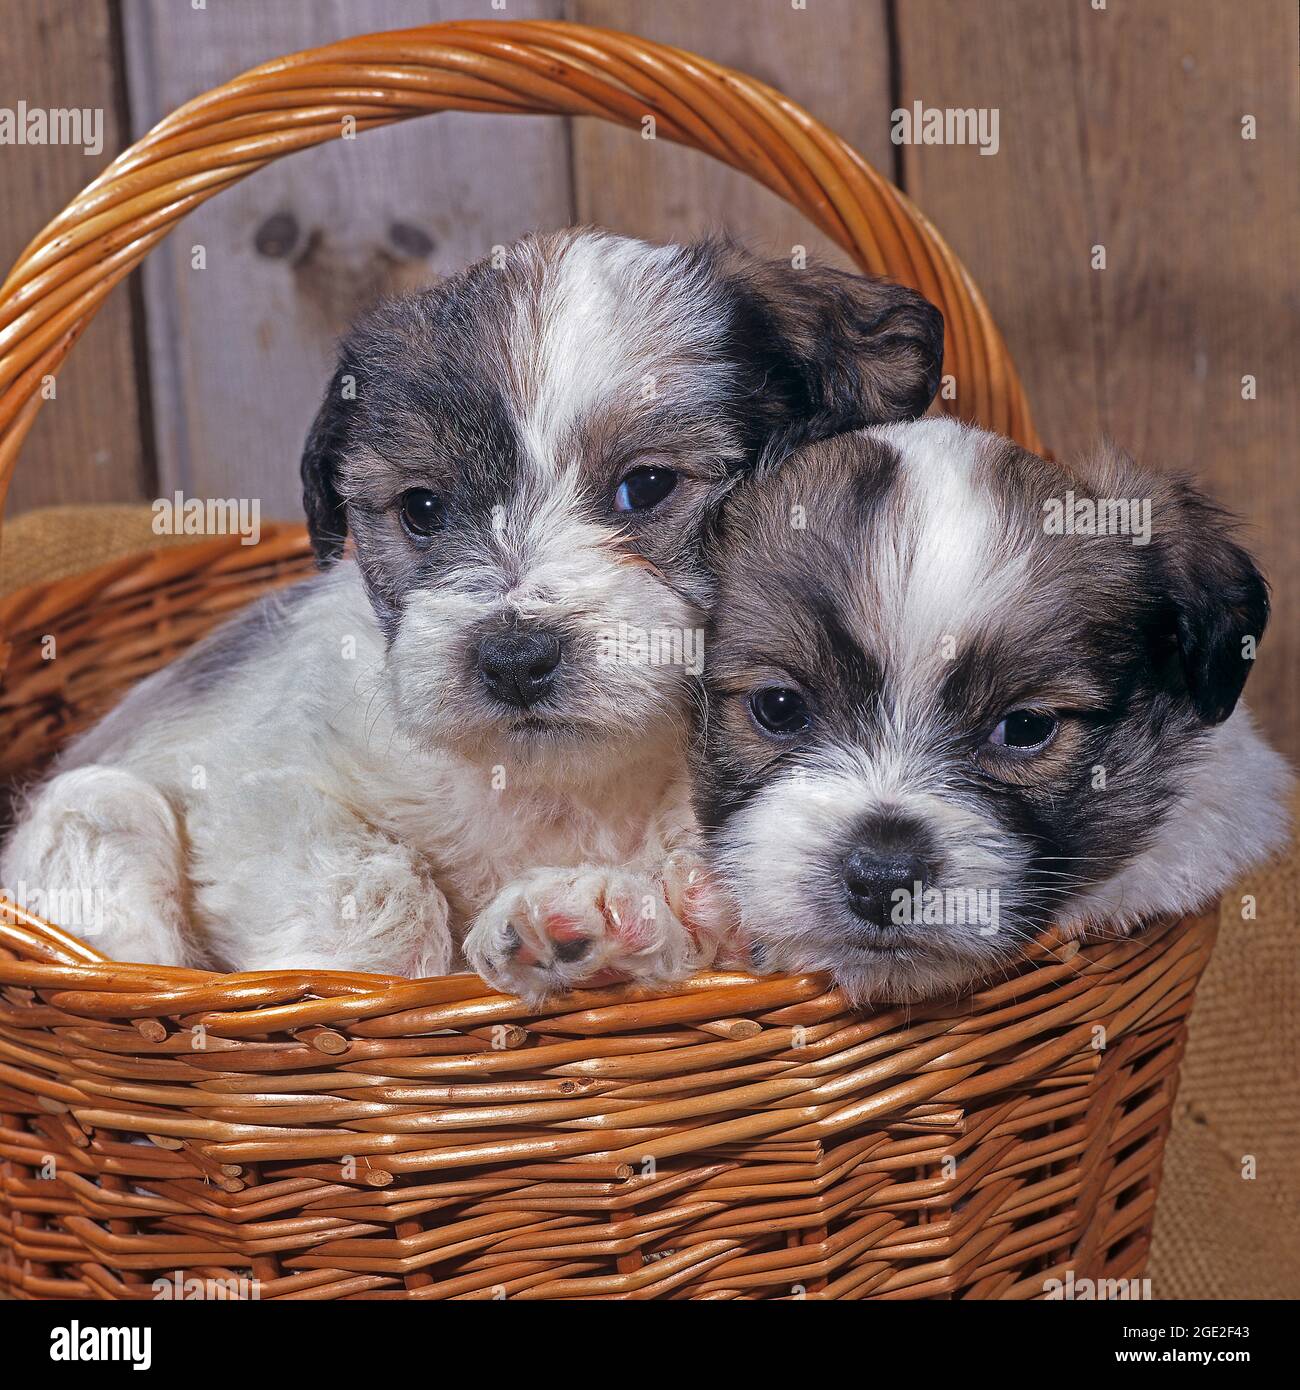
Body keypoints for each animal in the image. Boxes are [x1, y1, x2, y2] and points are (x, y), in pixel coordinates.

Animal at [5, 230, 951, 1000]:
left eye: (645, 486)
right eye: (423, 508)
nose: (514, 658)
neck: (555, 786)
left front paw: (628, 923)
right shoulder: (256, 785)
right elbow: (374, 893)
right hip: (94, 810)